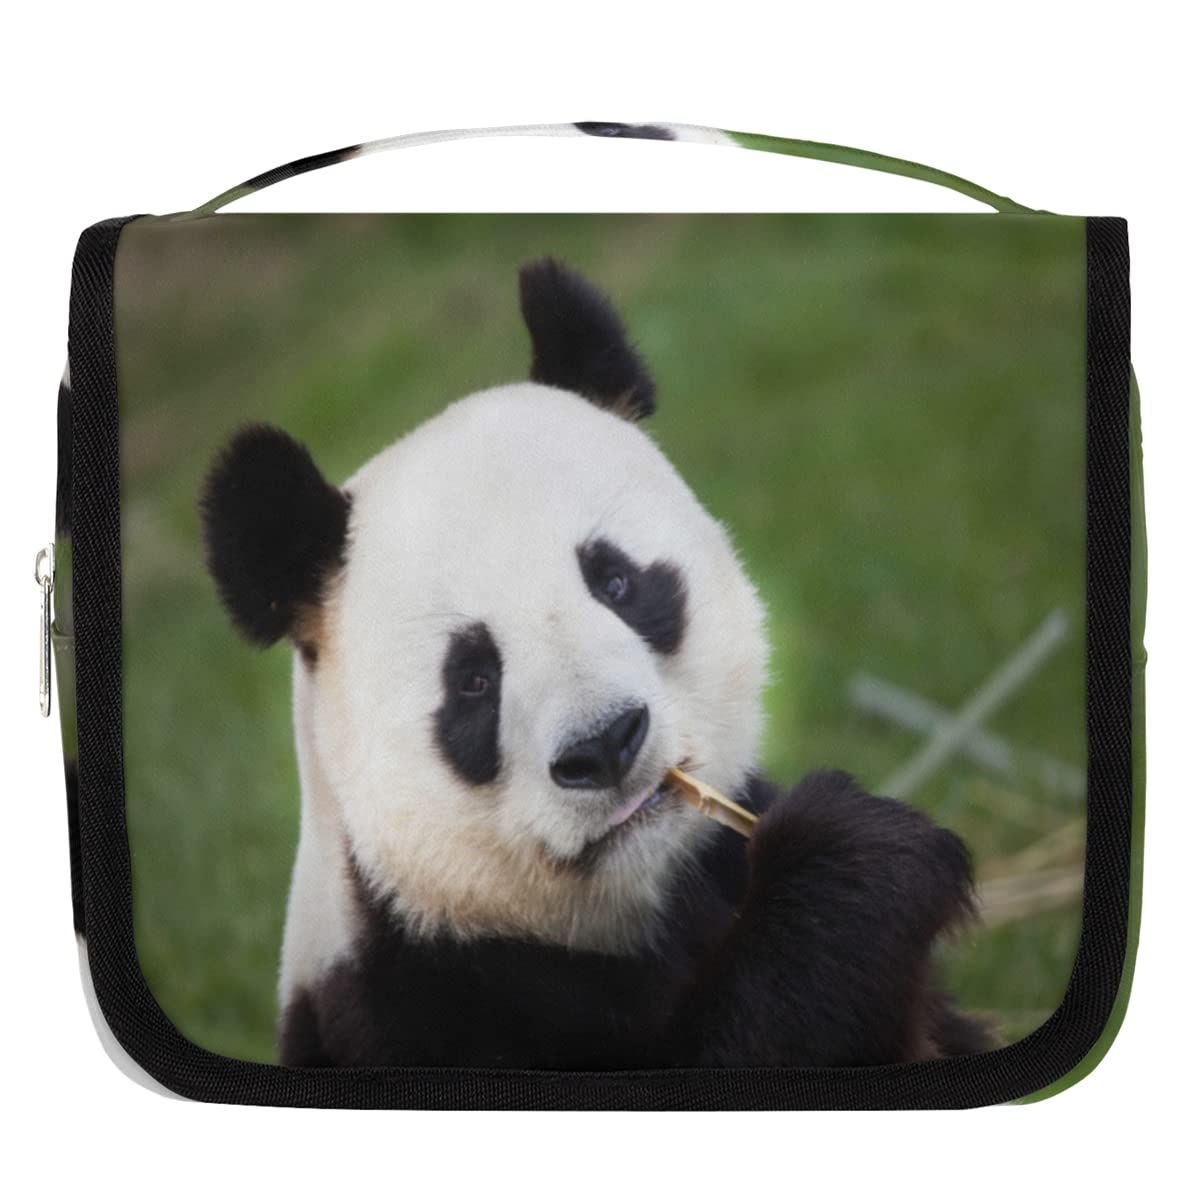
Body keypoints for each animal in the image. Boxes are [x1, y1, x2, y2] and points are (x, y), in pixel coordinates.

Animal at [200, 257, 992, 1069]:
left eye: (616, 583)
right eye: (474, 679)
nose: (607, 743)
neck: (635, 912)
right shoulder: (404, 1001)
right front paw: (852, 858)